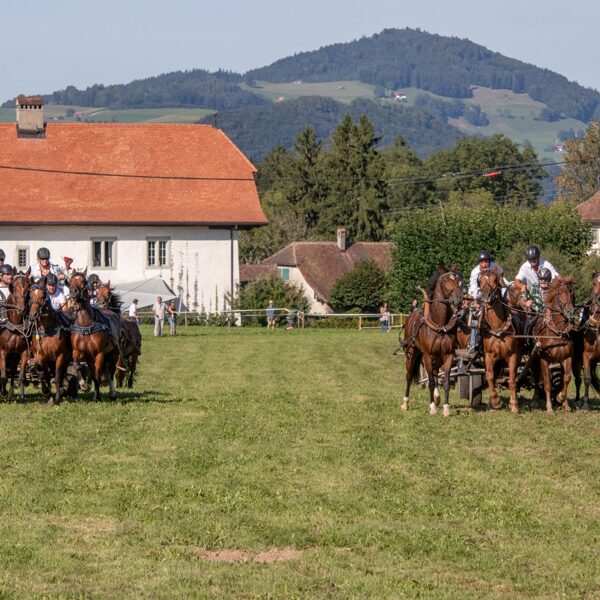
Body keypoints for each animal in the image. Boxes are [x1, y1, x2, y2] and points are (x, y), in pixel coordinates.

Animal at [68, 271, 121, 401]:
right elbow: (77, 366)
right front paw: (84, 385)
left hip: (113, 352)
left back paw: (112, 393)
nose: (73, 292)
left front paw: (97, 396)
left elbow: (97, 374)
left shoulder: (99, 353)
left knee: (111, 370)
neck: (86, 324)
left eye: (83, 281)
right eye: (70, 281)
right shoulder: (78, 351)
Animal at [402, 270, 463, 416]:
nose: (459, 299)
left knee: (435, 372)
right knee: (409, 375)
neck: (439, 323)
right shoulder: (427, 355)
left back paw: (437, 396)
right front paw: (432, 407)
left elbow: (445, 381)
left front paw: (446, 408)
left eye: (457, 280)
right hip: (412, 353)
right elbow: (429, 381)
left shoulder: (448, 355)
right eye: (444, 281)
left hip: (437, 357)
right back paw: (405, 403)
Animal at [478, 269, 525, 413]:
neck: (498, 328)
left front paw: (514, 404)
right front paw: (496, 401)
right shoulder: (488, 355)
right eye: (480, 280)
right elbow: (489, 375)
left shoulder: (513, 355)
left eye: (495, 279)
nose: (486, 296)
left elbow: (512, 379)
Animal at [530, 277, 576, 413]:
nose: (569, 312)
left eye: (572, 293)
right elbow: (547, 383)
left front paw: (562, 400)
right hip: (535, 360)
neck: (557, 332)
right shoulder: (544, 359)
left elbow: (566, 378)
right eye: (560, 293)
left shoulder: (567, 358)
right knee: (536, 377)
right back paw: (535, 400)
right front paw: (549, 408)